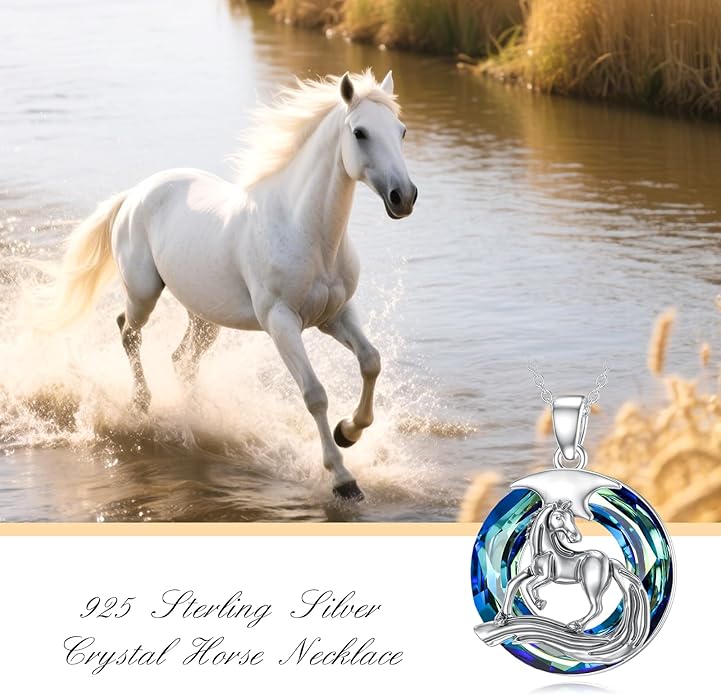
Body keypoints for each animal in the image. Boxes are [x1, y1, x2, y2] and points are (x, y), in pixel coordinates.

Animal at [33, 69, 417, 501]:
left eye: (401, 131)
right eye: (360, 132)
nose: (404, 197)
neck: (306, 231)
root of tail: (134, 195)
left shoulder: (335, 315)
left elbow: (371, 361)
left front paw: (348, 432)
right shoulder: (282, 323)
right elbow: (315, 394)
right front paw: (342, 478)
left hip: (204, 317)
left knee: (180, 360)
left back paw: (197, 419)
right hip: (144, 293)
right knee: (128, 331)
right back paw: (142, 404)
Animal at [495, 500, 649, 633]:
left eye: (571, 518)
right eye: (558, 517)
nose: (576, 537)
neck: (544, 550)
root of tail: (608, 560)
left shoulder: (546, 576)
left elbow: (528, 586)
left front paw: (539, 603)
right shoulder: (531, 571)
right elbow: (513, 583)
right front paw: (502, 619)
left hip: (591, 585)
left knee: (597, 607)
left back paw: (575, 626)